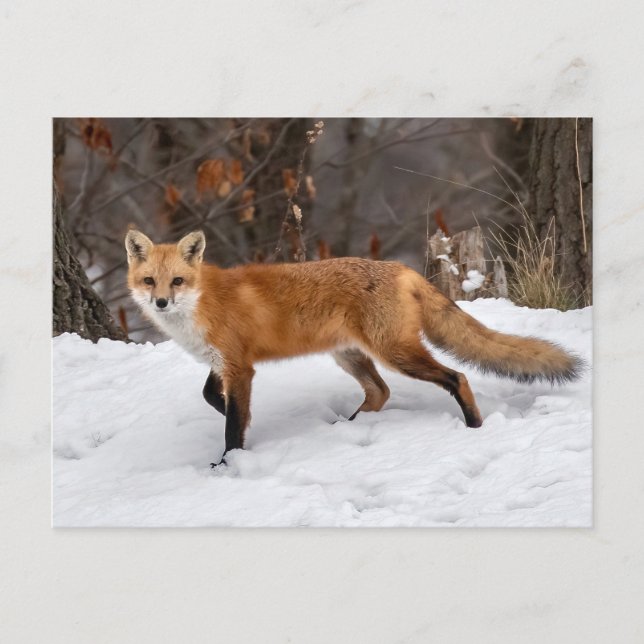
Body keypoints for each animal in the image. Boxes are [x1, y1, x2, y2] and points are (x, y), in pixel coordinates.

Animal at [125, 229, 582, 467]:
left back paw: (474, 426)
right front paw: (238, 418)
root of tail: (401, 268)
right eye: (150, 281)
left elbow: (233, 424)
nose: (161, 302)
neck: (200, 304)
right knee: (380, 392)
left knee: (457, 376)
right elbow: (211, 397)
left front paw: (229, 464)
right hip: (349, 355)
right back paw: (348, 427)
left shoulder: (239, 367)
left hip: (394, 353)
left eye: (177, 281)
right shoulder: (225, 363)